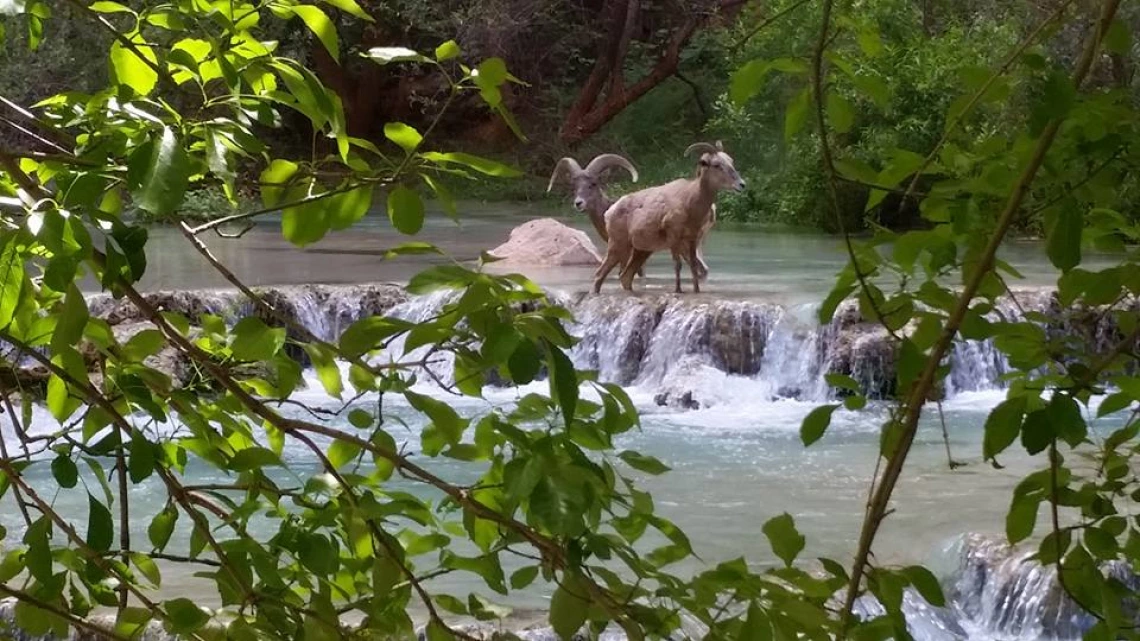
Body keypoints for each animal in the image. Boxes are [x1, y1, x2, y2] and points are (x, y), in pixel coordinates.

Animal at [592, 139, 743, 294]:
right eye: (717, 165)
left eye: (731, 161)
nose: (741, 184)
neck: (690, 204)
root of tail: (609, 212)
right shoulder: (674, 237)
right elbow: (678, 265)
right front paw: (678, 290)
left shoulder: (692, 239)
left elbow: (694, 266)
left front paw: (696, 290)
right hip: (618, 246)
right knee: (600, 275)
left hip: (641, 251)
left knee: (625, 277)